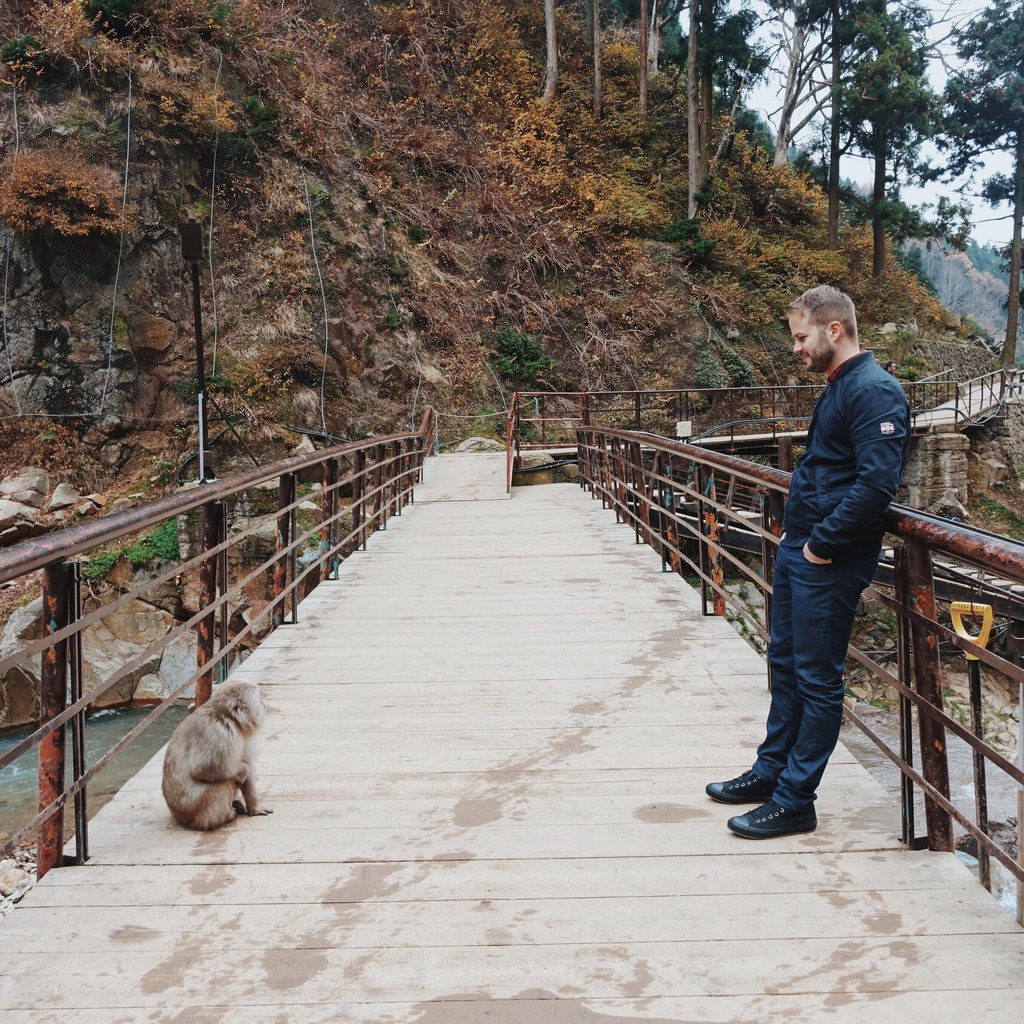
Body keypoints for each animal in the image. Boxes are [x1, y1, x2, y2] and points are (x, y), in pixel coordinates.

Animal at [159, 679, 272, 831]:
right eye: (258, 698)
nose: (263, 703)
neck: (228, 719)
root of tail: (178, 816)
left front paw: (255, 808)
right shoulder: (218, 734)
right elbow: (204, 768)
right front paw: (243, 770)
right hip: (195, 810)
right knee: (224, 781)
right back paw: (225, 816)